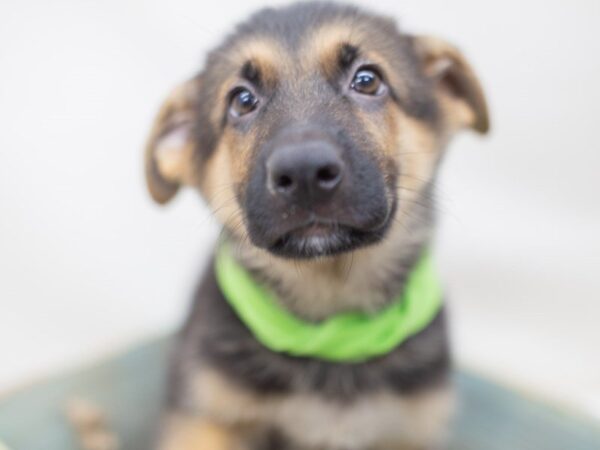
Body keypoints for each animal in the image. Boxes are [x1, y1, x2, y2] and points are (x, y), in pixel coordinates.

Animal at [144, 1, 488, 448]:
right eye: (242, 100)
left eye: (367, 80)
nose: (304, 171)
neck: (331, 327)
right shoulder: (204, 421)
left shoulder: (409, 431)